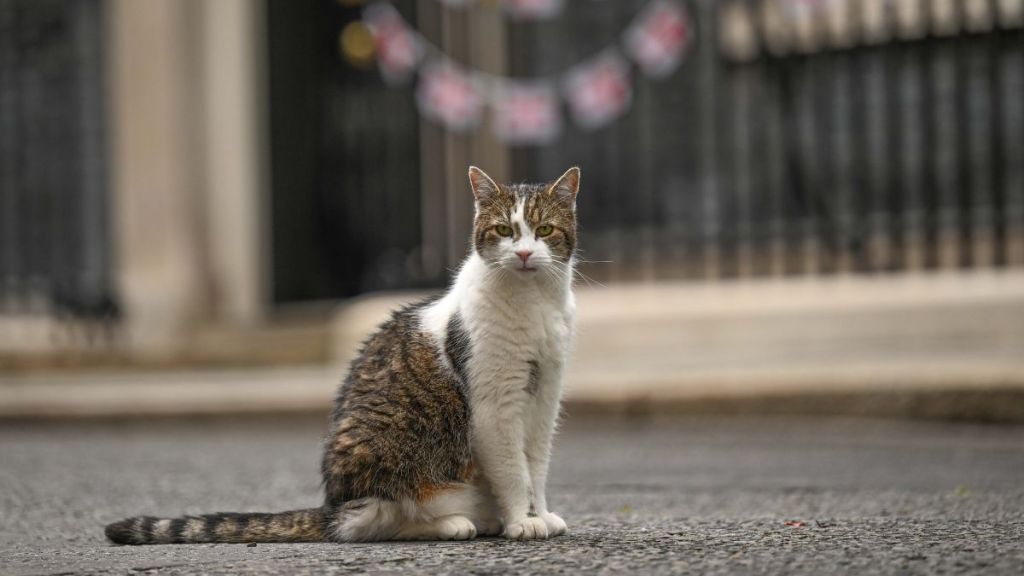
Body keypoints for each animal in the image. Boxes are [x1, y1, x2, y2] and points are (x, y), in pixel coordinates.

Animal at [109, 165, 585, 541]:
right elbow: (513, 471)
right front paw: (521, 521)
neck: (532, 304)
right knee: (378, 519)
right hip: (396, 460)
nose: (523, 253)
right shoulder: (493, 408)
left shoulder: (544, 401)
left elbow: (536, 467)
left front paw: (540, 514)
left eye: (544, 230)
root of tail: (332, 504)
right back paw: (456, 523)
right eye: (504, 230)